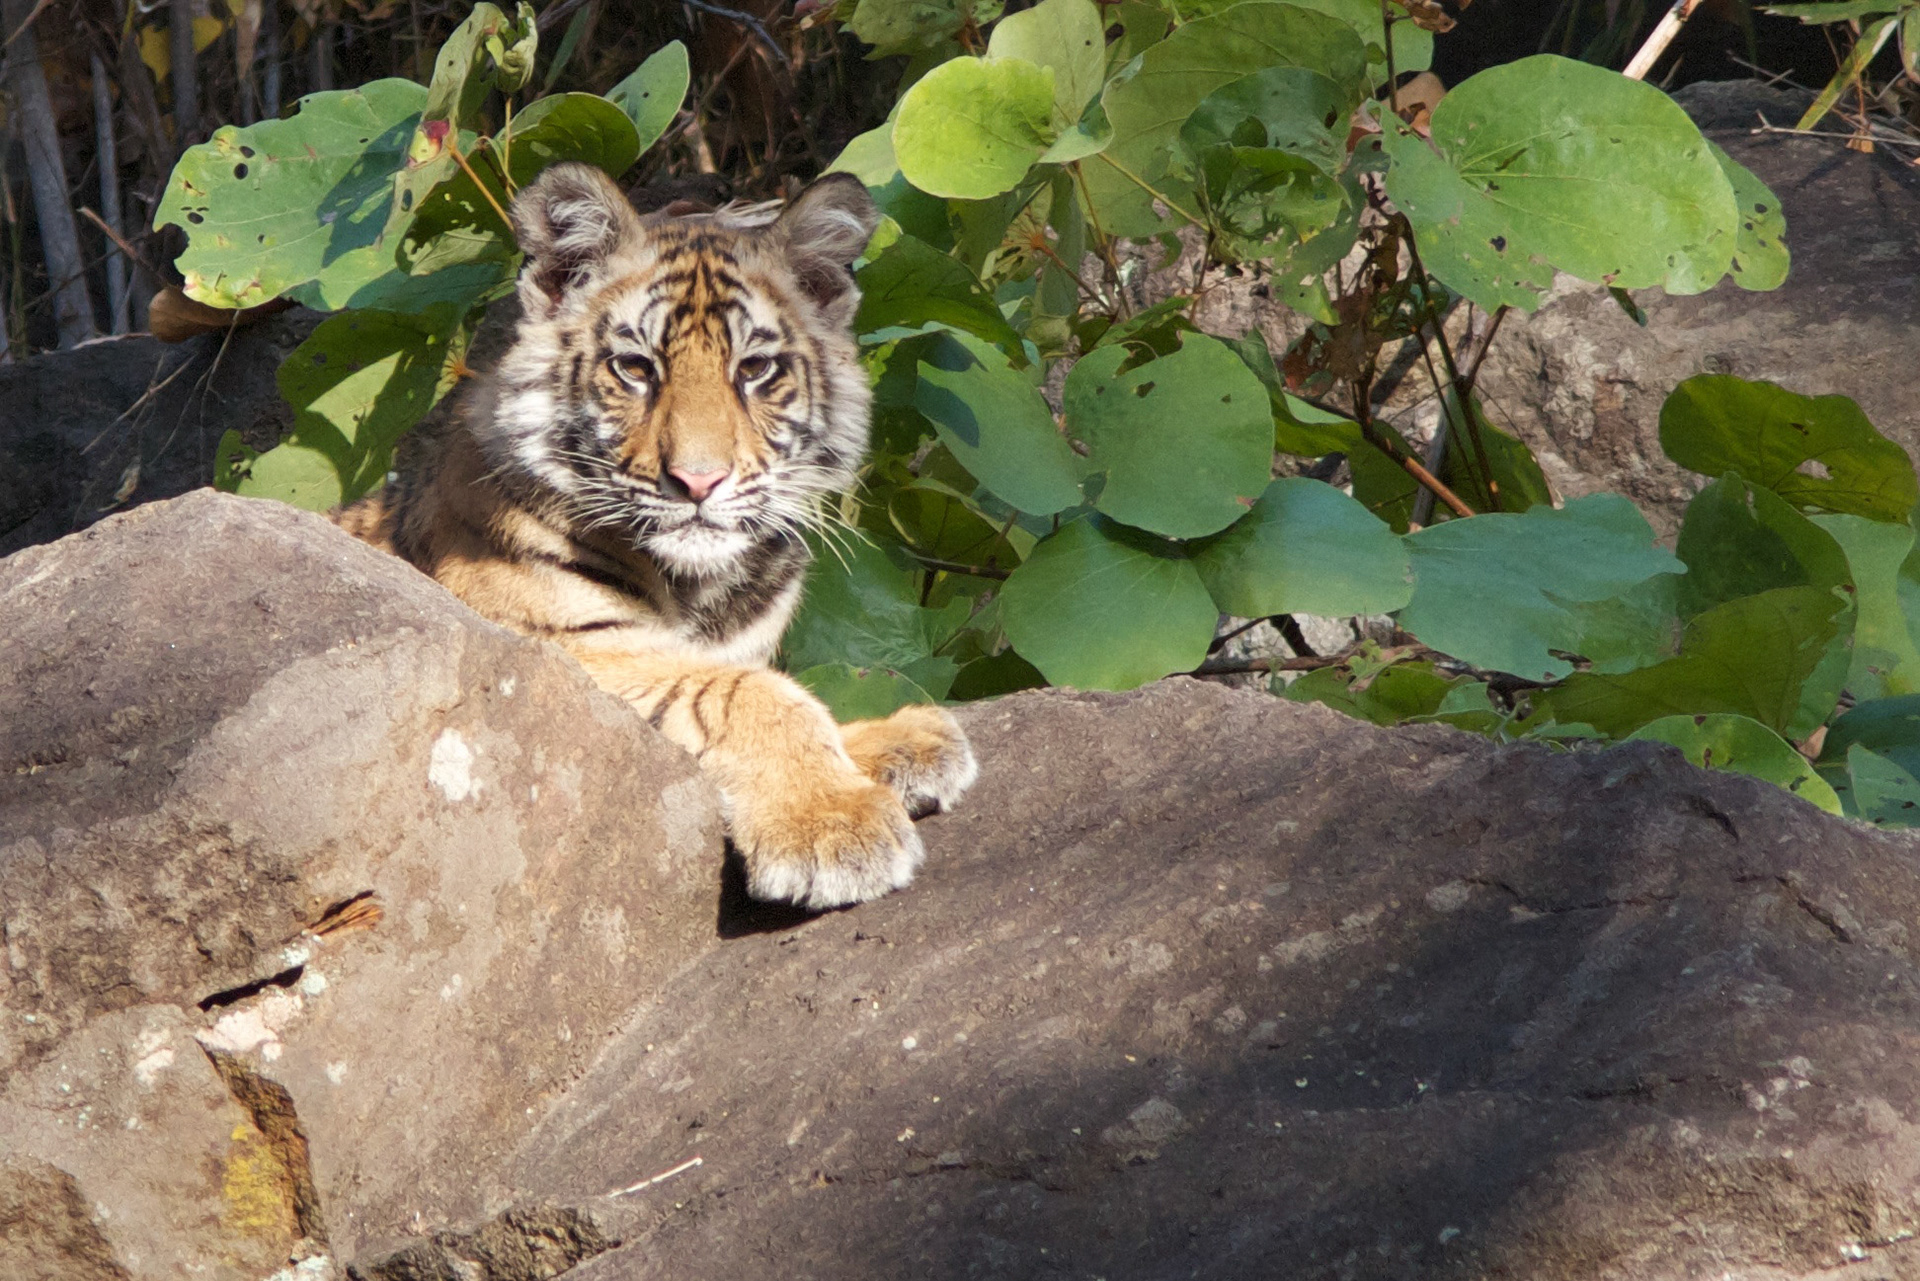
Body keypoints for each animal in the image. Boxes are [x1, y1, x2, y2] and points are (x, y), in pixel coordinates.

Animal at [332, 161, 977, 909]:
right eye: (636, 368)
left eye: (754, 370)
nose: (698, 482)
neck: (707, 588)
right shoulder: (573, 656)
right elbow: (747, 692)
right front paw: (832, 824)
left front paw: (903, 741)